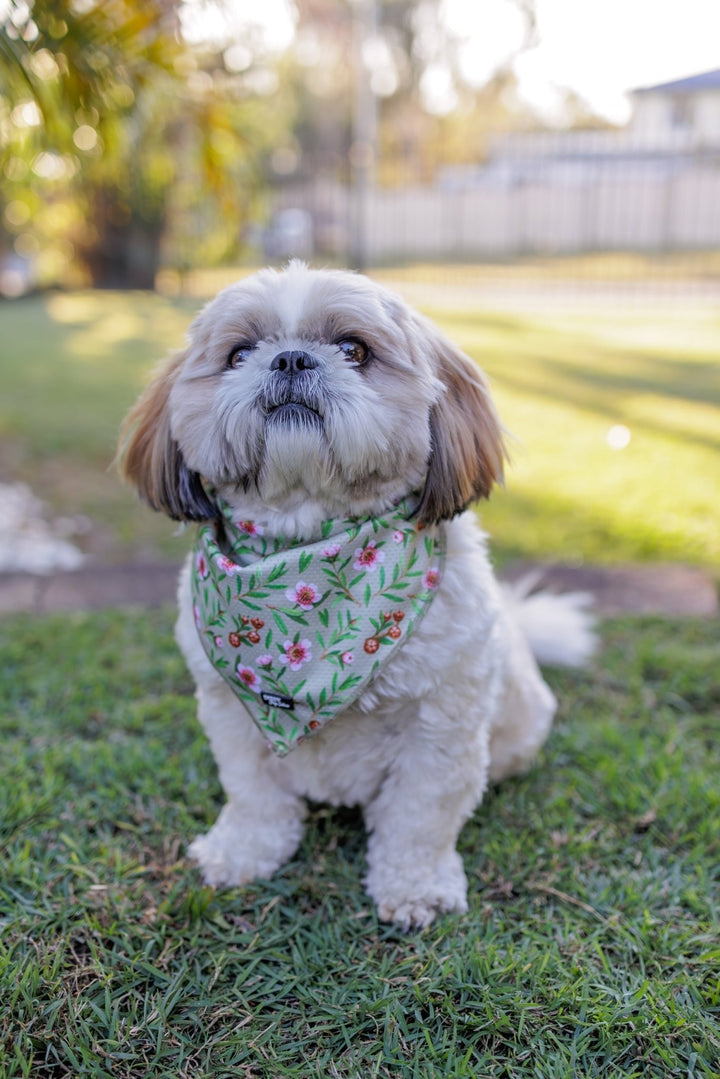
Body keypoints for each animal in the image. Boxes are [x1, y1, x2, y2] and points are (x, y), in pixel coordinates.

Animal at [118, 261, 595, 927]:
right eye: (240, 353)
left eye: (354, 350)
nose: (291, 358)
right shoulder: (231, 712)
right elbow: (254, 795)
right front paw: (243, 851)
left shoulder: (440, 728)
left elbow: (419, 817)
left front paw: (415, 885)